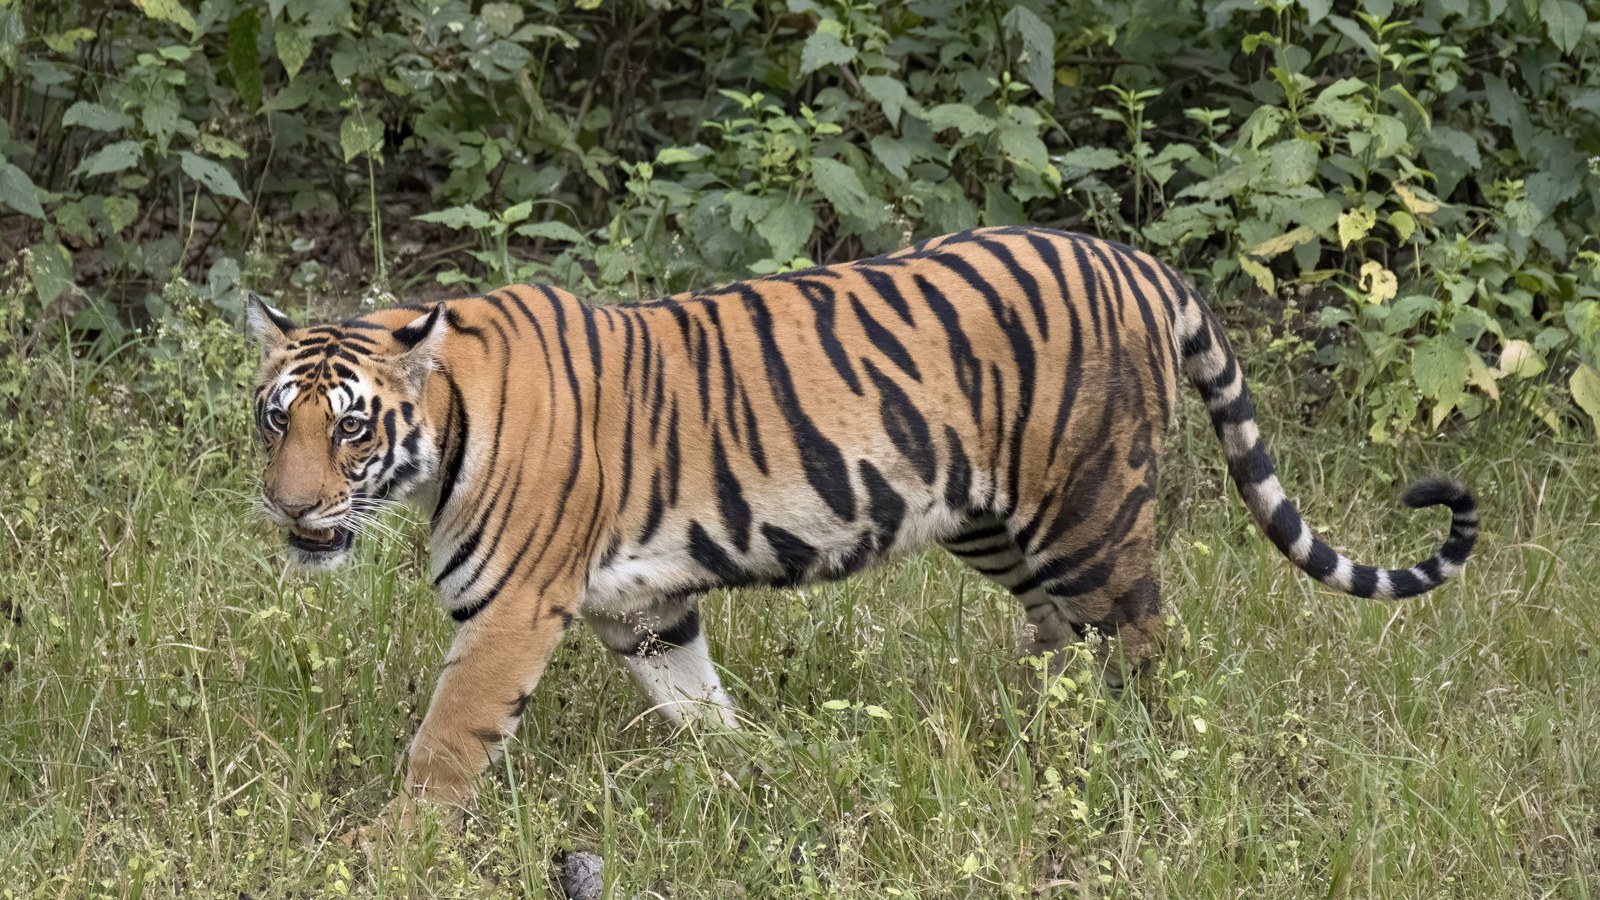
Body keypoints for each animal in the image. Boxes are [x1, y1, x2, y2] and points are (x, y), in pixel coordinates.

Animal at [246, 225, 1478, 821]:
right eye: (274, 419)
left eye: (351, 428)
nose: (290, 507)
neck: (443, 434)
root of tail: (1137, 261)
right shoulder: (643, 607)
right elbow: (697, 704)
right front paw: (753, 772)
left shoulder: (510, 611)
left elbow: (446, 741)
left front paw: (395, 848)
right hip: (993, 522)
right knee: (1058, 640)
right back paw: (1031, 738)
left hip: (1089, 512)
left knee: (1142, 645)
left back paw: (1141, 763)